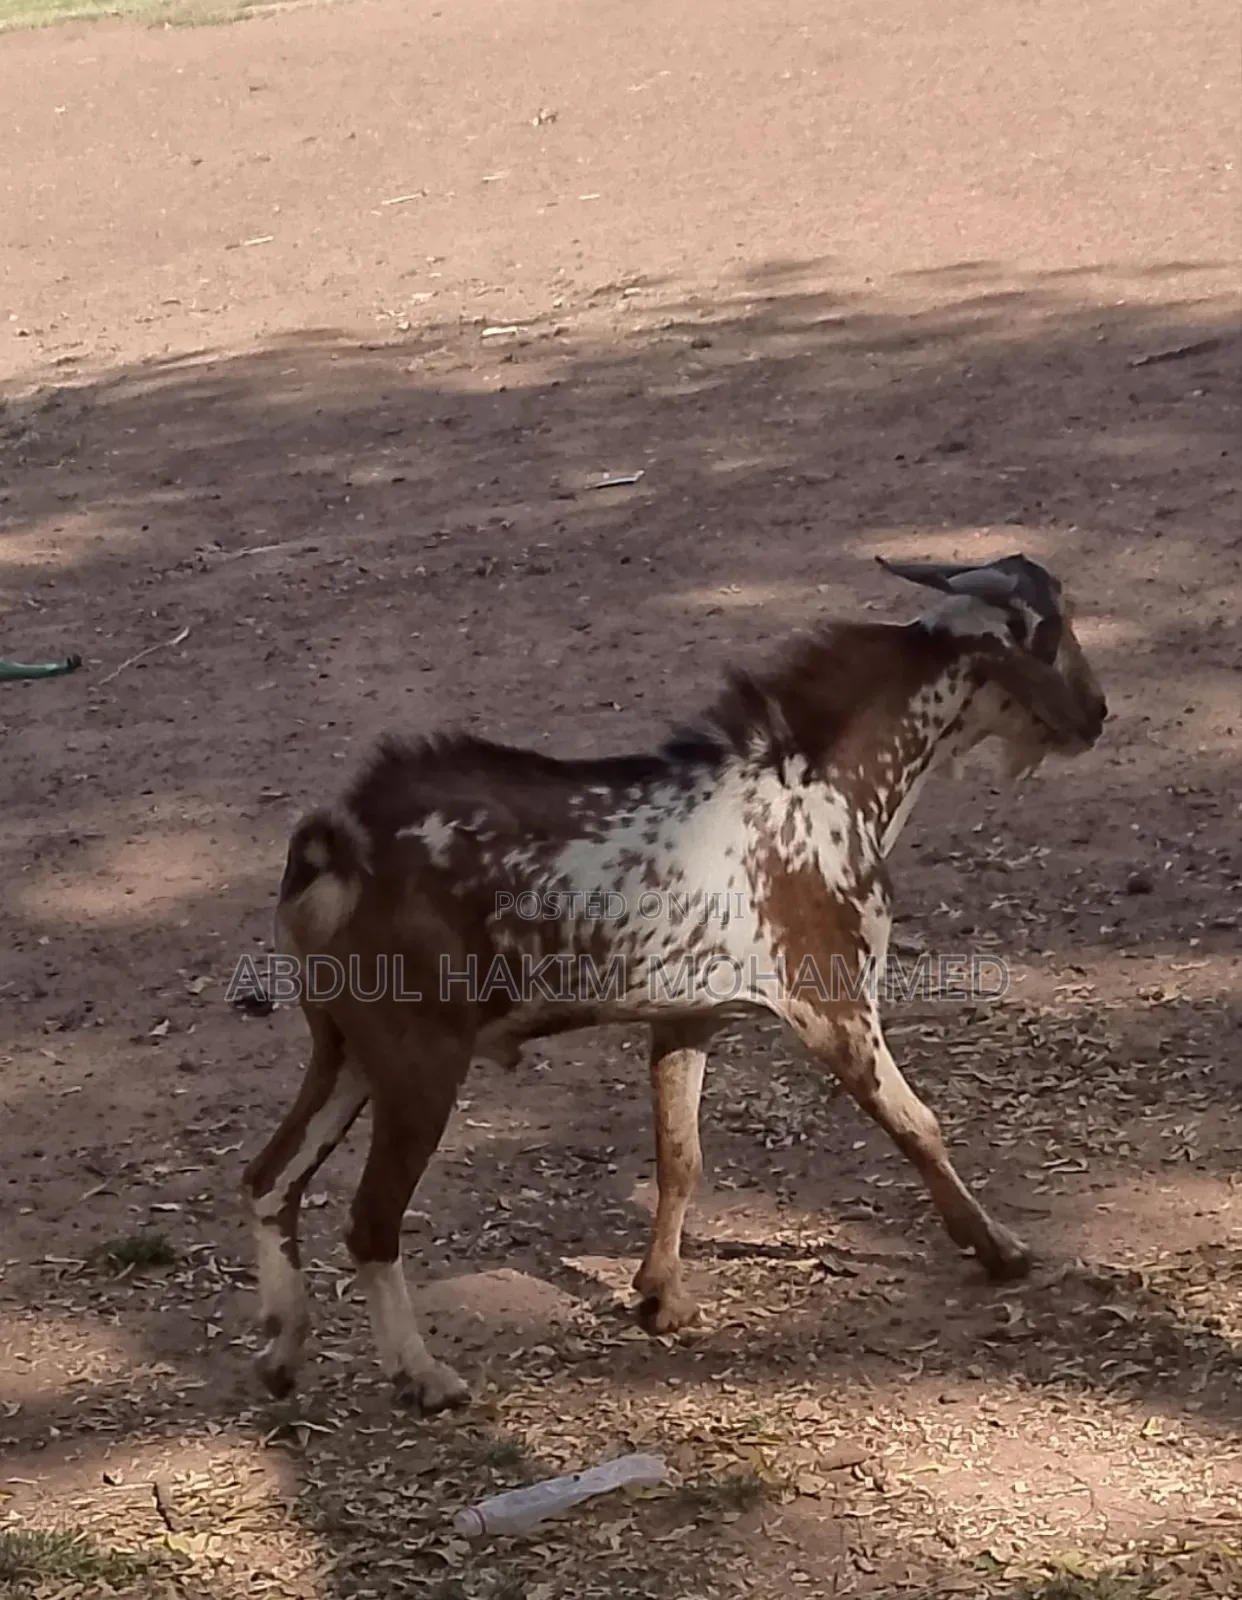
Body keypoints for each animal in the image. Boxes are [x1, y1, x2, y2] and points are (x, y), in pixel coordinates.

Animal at [241, 552, 1107, 1413]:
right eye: (1049, 632)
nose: (1096, 716)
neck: (823, 782)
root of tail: (338, 843)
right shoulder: (832, 1004)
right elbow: (916, 1124)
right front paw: (999, 1250)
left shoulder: (688, 1018)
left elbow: (679, 1153)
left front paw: (660, 1297)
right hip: (419, 1059)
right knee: (370, 1219)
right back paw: (421, 1374)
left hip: (349, 1050)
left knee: (269, 1178)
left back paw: (282, 1350)